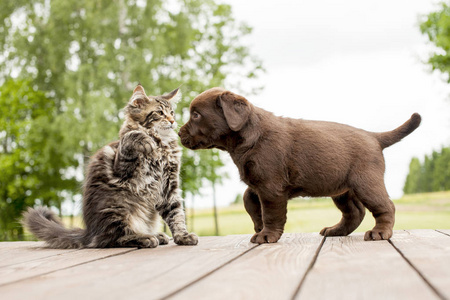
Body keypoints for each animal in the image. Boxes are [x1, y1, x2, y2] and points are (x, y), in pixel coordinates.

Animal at [23, 84, 198, 248]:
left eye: (172, 112)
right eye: (160, 113)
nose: (172, 121)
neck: (162, 144)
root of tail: (89, 233)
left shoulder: (169, 185)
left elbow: (176, 213)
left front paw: (183, 236)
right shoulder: (121, 169)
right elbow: (130, 136)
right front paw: (145, 139)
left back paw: (157, 235)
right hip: (117, 206)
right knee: (112, 238)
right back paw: (145, 238)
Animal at [178, 88, 420, 243]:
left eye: (196, 115)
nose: (178, 133)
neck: (248, 136)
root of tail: (373, 136)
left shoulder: (270, 186)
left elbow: (271, 213)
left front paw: (266, 235)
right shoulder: (257, 182)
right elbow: (248, 200)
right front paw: (258, 225)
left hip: (365, 182)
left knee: (385, 207)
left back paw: (380, 232)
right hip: (342, 189)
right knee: (354, 212)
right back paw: (336, 230)